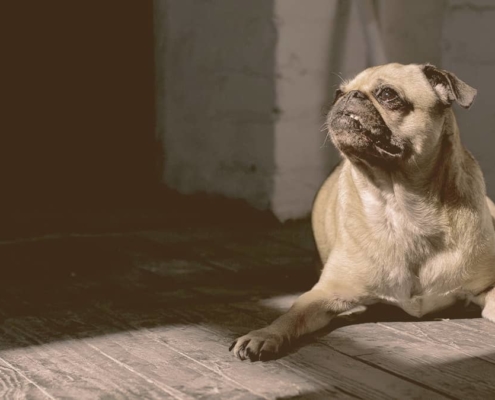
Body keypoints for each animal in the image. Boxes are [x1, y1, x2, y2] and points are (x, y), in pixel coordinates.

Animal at [231, 62, 495, 362]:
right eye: (338, 92)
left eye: (388, 94)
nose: (348, 96)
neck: (403, 208)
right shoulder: (324, 293)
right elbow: (291, 315)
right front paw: (264, 335)